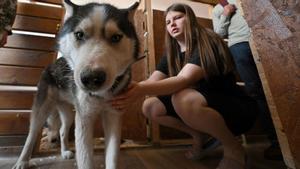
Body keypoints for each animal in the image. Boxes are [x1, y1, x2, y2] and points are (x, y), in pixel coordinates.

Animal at [12, 0, 141, 168]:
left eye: (116, 37)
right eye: (79, 34)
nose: (92, 78)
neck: (101, 96)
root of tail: (51, 64)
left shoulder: (113, 115)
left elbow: (112, 157)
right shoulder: (84, 119)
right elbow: (85, 159)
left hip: (68, 113)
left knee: (62, 130)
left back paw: (65, 152)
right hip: (42, 110)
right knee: (32, 134)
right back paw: (22, 161)